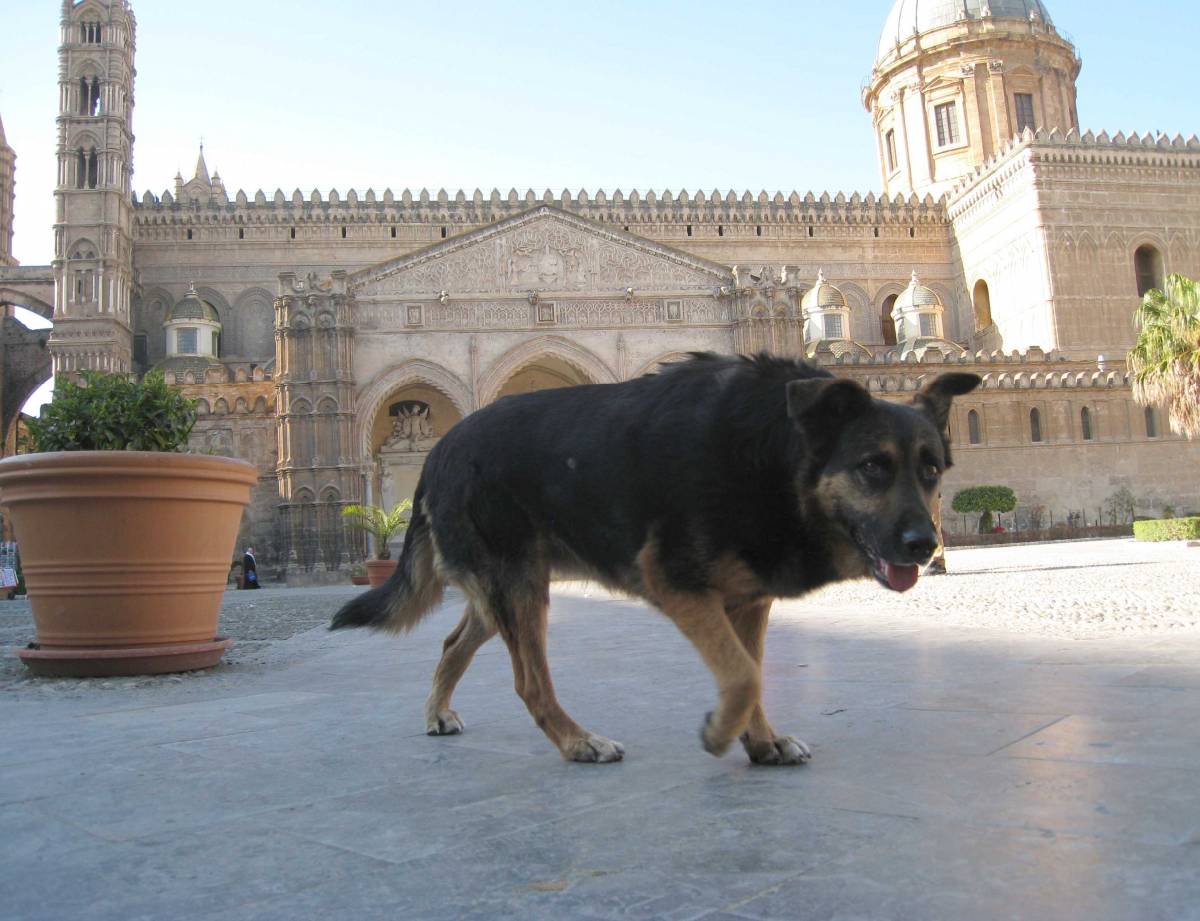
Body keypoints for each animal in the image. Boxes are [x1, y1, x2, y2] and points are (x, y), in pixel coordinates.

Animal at [328, 350, 974, 762]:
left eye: (931, 471)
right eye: (872, 467)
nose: (925, 547)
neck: (773, 451)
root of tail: (440, 448)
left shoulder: (747, 598)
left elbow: (754, 673)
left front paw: (761, 742)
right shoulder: (678, 584)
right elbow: (741, 675)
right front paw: (721, 734)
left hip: (507, 591)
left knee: (452, 642)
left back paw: (438, 713)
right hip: (518, 589)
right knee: (530, 683)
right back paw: (577, 743)